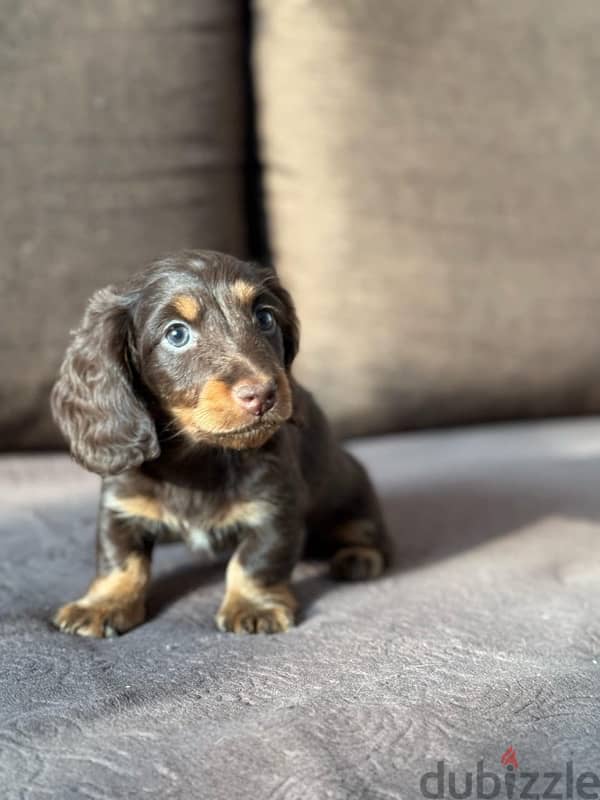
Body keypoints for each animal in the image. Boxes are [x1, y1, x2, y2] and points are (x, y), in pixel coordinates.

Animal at [51, 250, 390, 636]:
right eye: (177, 334)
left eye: (265, 317)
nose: (263, 395)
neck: (198, 457)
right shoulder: (121, 505)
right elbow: (120, 559)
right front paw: (103, 604)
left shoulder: (276, 506)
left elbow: (256, 561)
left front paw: (253, 606)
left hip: (353, 491)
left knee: (368, 531)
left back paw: (359, 557)